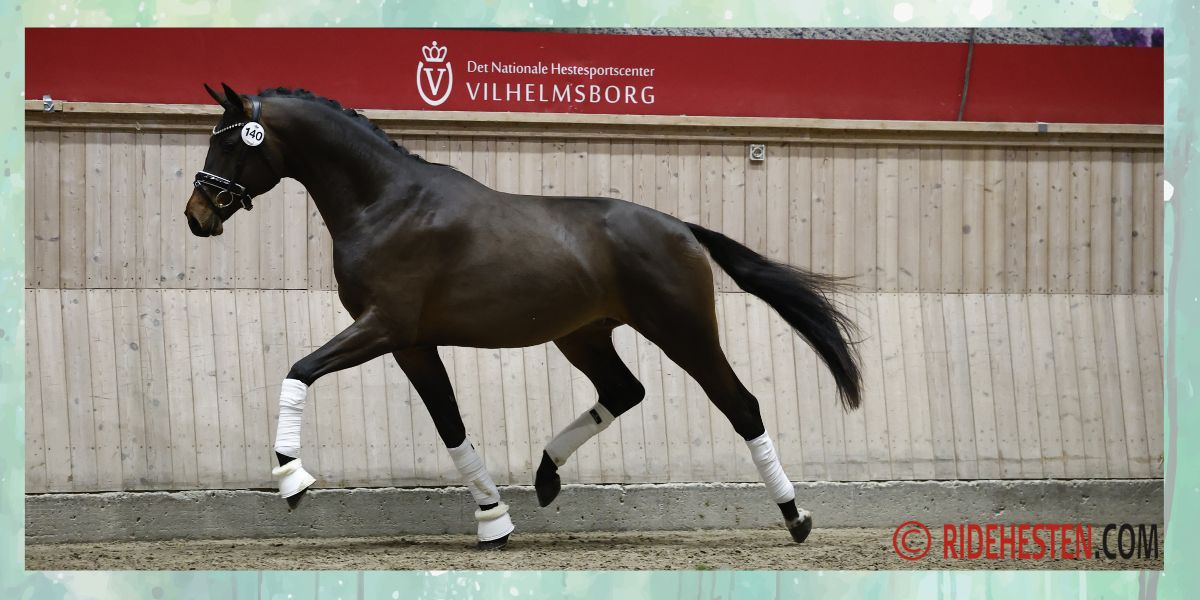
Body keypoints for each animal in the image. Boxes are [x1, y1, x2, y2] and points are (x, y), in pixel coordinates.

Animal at [185, 83, 862, 549]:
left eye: (230, 139)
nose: (197, 214)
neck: (387, 204)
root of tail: (682, 229)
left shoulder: (384, 327)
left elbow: (299, 370)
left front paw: (292, 478)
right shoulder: (411, 343)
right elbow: (450, 424)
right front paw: (493, 520)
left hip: (683, 332)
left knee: (741, 405)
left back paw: (796, 517)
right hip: (583, 337)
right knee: (624, 391)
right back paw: (545, 477)